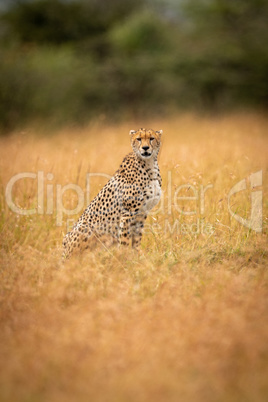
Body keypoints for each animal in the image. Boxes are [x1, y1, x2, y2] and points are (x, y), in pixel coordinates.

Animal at [62, 127, 162, 258]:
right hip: (86, 228)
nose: (145, 148)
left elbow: (136, 238)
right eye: (139, 139)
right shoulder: (128, 213)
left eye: (151, 138)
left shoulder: (141, 213)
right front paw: (124, 255)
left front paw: (138, 255)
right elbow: (124, 239)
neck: (149, 165)